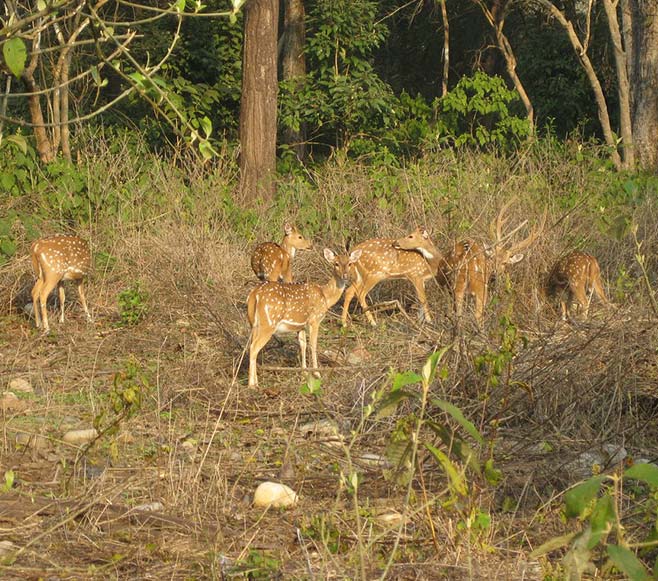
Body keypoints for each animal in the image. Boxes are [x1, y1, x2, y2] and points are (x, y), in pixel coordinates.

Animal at [246, 247, 362, 388]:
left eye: (350, 263)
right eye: (336, 263)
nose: (345, 275)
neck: (325, 296)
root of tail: (254, 295)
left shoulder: (300, 325)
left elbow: (303, 345)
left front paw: (304, 373)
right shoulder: (314, 319)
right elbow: (313, 344)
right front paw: (317, 373)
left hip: (253, 323)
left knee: (252, 346)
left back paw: (255, 382)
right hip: (268, 323)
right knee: (254, 347)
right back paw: (252, 385)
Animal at [394, 201, 544, 324]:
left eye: (506, 263)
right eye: (493, 258)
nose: (495, 273)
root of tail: (470, 265)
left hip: (462, 287)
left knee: (468, 316)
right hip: (471, 288)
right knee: (475, 316)